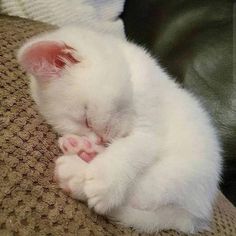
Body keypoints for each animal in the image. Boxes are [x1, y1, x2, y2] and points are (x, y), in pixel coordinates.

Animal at [17, 26, 222, 233]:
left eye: (87, 119)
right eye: (82, 127)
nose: (99, 139)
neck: (132, 74)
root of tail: (196, 215)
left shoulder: (151, 127)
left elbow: (130, 148)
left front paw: (104, 179)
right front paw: (86, 144)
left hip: (178, 173)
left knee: (142, 191)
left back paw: (76, 175)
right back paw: (82, 150)